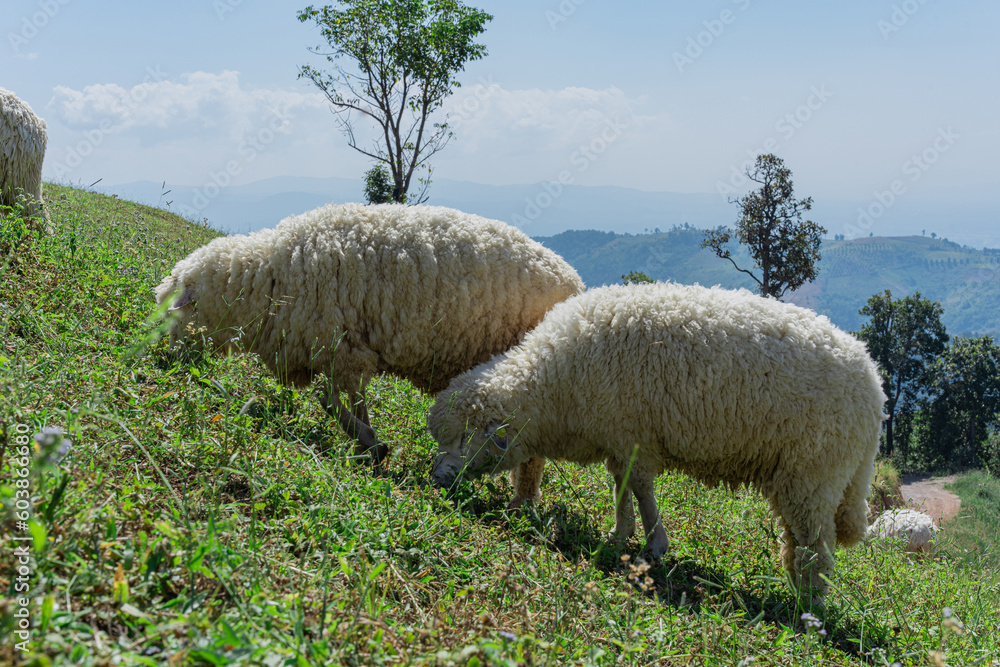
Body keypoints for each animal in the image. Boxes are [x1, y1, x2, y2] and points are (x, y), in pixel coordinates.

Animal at [156, 202, 584, 500]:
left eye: (174, 315)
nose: (167, 363)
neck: (270, 279)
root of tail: (574, 281)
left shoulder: (342, 347)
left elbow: (333, 398)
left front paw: (367, 440)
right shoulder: (340, 351)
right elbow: (341, 397)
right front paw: (369, 441)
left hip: (537, 379)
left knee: (533, 452)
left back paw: (522, 502)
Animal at [429, 282, 886, 595]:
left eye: (463, 439)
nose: (436, 479)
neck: (554, 386)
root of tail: (874, 384)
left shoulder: (634, 437)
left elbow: (640, 488)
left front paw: (653, 545)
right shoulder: (620, 438)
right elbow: (621, 487)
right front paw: (621, 534)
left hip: (815, 472)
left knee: (816, 547)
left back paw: (807, 605)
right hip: (804, 477)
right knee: (800, 540)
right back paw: (795, 587)